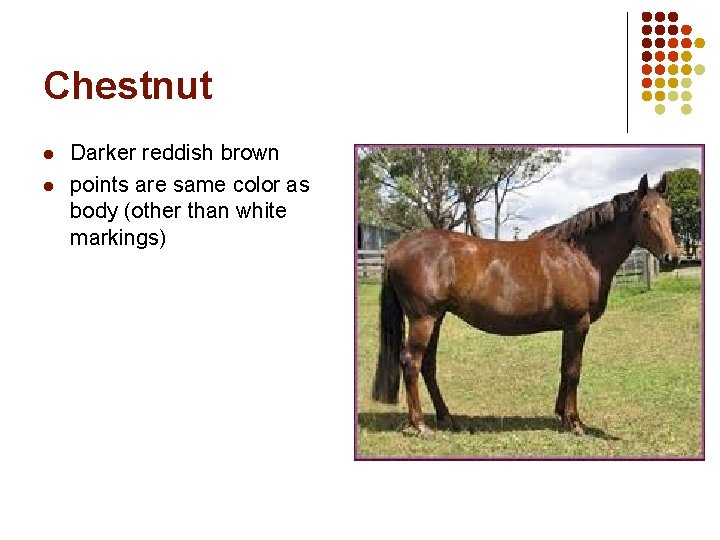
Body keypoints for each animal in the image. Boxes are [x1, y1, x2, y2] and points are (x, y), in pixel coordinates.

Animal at [371, 173, 679, 436]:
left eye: (669, 212)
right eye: (646, 214)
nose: (672, 257)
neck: (579, 255)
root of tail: (397, 247)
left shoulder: (569, 327)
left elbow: (565, 368)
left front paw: (561, 415)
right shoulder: (577, 323)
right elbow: (573, 370)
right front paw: (575, 423)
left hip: (436, 317)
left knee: (428, 365)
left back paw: (447, 418)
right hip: (423, 318)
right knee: (411, 362)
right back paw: (421, 425)